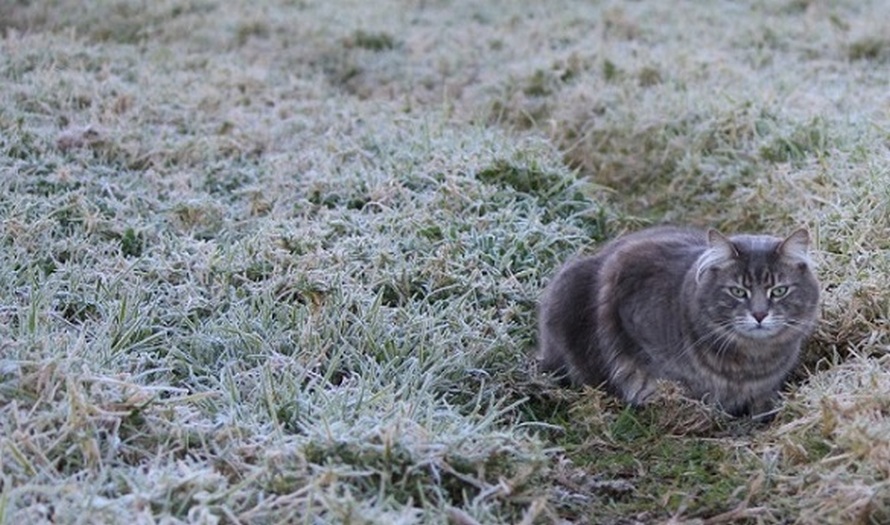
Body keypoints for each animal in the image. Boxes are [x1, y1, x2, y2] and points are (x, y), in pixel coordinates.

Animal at [536, 225, 820, 418]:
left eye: (779, 291)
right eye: (738, 292)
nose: (759, 315)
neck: (751, 360)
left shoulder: (766, 386)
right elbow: (651, 375)